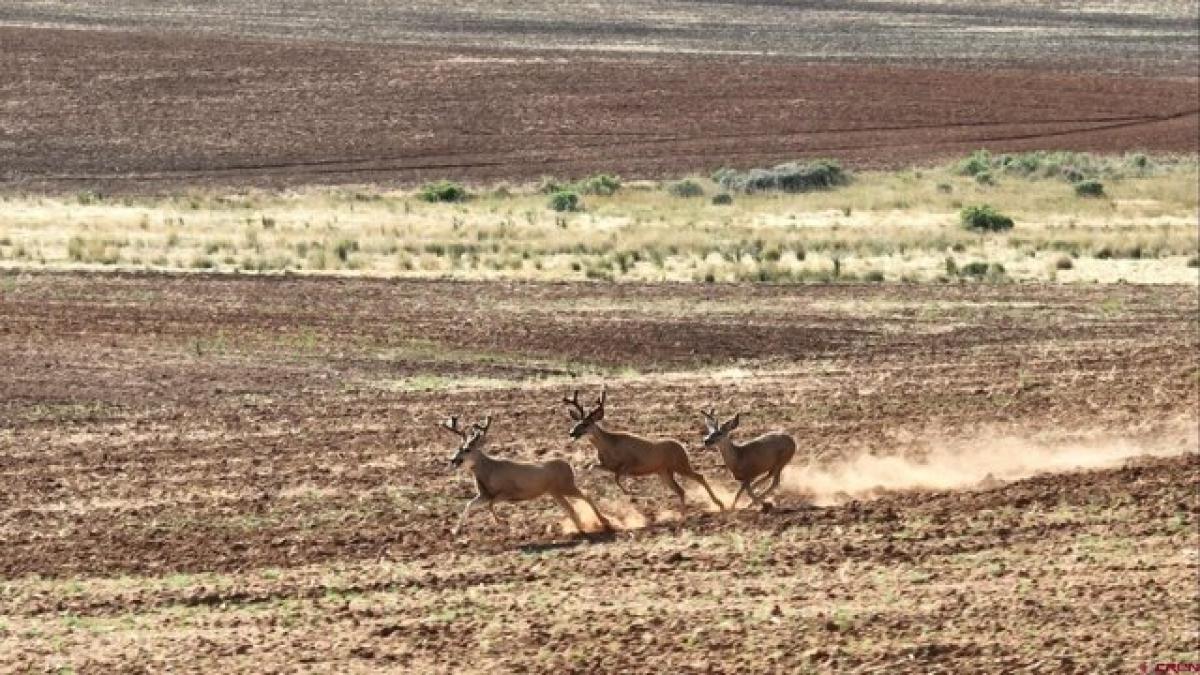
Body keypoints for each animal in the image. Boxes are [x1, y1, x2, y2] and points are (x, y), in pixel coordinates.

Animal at [441, 413, 614, 533]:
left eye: (467, 449)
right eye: (458, 448)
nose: (453, 460)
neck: (489, 471)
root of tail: (568, 465)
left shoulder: (508, 491)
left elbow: (490, 505)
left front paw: (503, 522)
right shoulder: (485, 494)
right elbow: (469, 504)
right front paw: (455, 530)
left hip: (566, 485)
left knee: (586, 495)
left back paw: (604, 523)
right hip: (554, 491)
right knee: (571, 508)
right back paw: (580, 528)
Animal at [559, 389, 720, 509]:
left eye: (586, 424)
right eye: (577, 422)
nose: (571, 432)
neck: (610, 447)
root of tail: (682, 446)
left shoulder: (631, 462)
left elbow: (617, 477)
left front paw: (631, 492)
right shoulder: (607, 465)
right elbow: (593, 467)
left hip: (680, 464)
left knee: (699, 477)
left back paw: (718, 503)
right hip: (664, 471)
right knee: (680, 490)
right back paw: (683, 513)